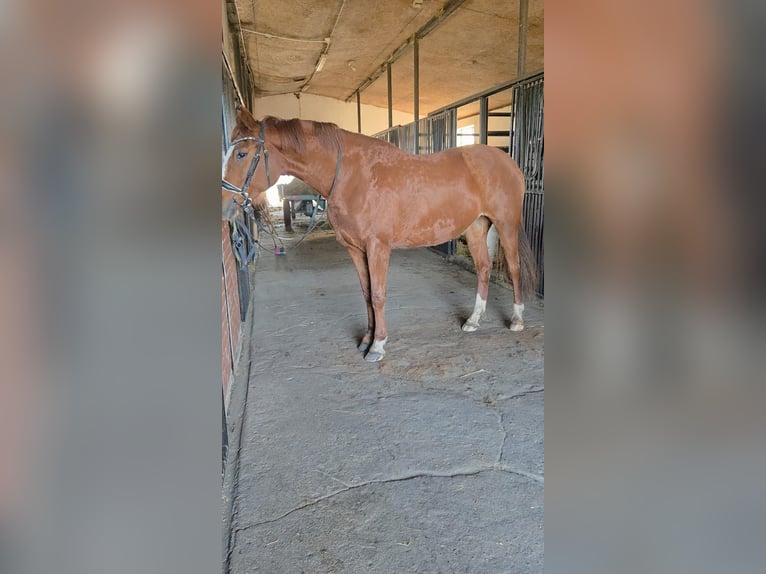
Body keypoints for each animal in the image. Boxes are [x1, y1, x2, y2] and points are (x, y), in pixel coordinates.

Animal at [222, 107, 537, 362]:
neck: (352, 175)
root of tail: (508, 161)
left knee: (513, 268)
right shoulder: (355, 248)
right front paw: (366, 338)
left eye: (241, 153)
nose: (225, 206)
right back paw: (473, 320)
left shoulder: (377, 246)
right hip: (475, 227)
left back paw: (517, 320)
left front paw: (377, 346)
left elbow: (378, 294)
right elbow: (366, 294)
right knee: (483, 268)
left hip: (506, 224)